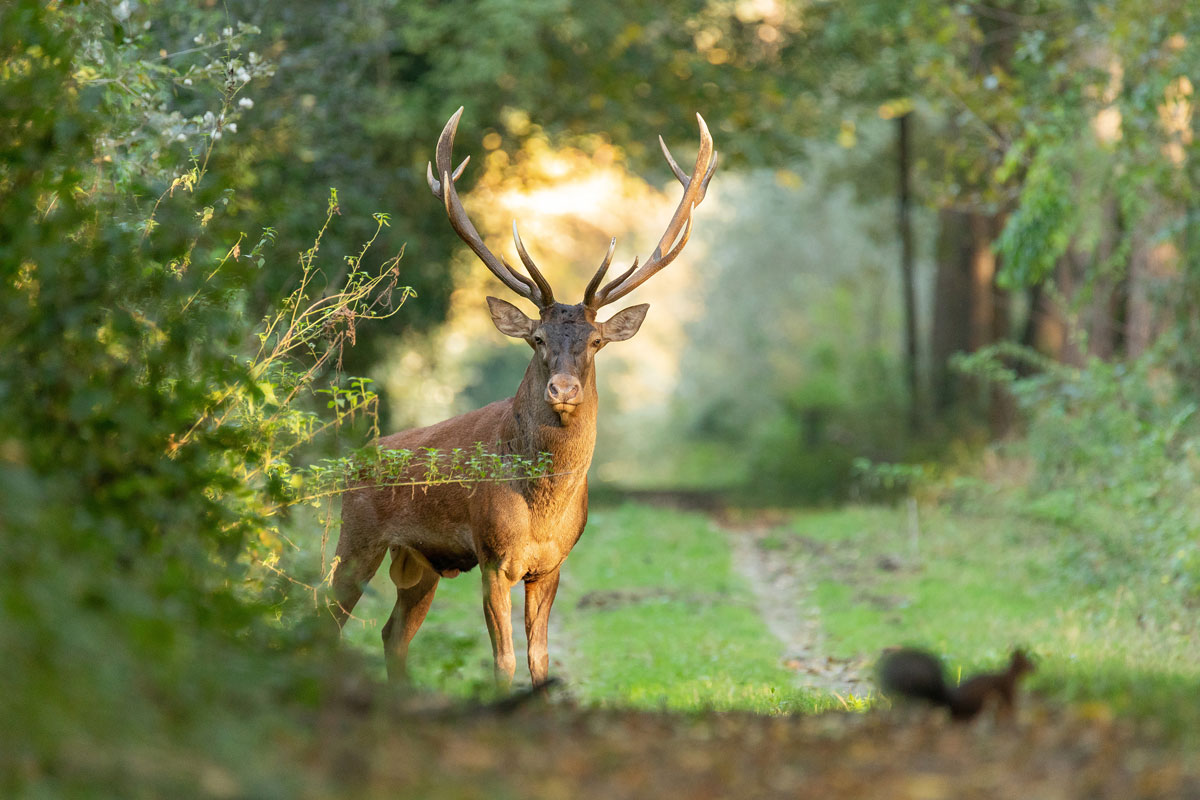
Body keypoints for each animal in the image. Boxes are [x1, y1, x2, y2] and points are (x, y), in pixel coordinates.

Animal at [878, 647, 1036, 724]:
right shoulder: (1007, 689)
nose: (1036, 668)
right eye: (1028, 663)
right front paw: (1016, 710)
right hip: (975, 704)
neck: (1010, 675)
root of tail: (950, 701)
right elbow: (1011, 702)